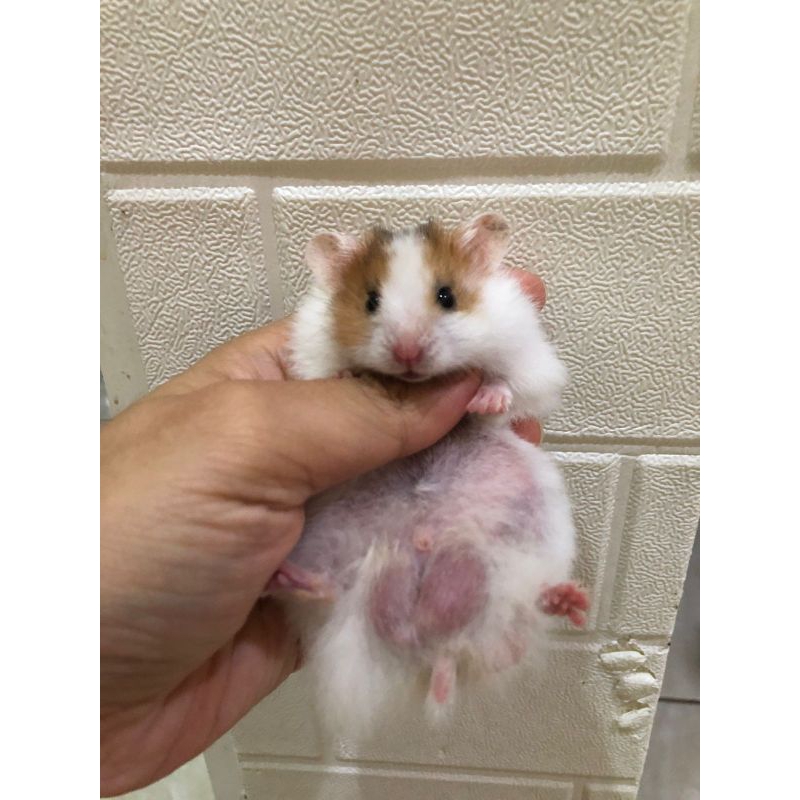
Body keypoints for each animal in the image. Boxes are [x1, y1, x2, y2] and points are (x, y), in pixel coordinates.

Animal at [266, 213, 587, 733]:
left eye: (447, 296)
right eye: (370, 301)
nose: (408, 352)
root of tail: (425, 646)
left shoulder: (533, 364)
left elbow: (510, 387)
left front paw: (485, 400)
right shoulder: (311, 353)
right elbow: (328, 372)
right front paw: (348, 377)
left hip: (527, 542)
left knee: (513, 617)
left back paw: (567, 601)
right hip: (336, 555)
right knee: (331, 594)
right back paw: (292, 580)